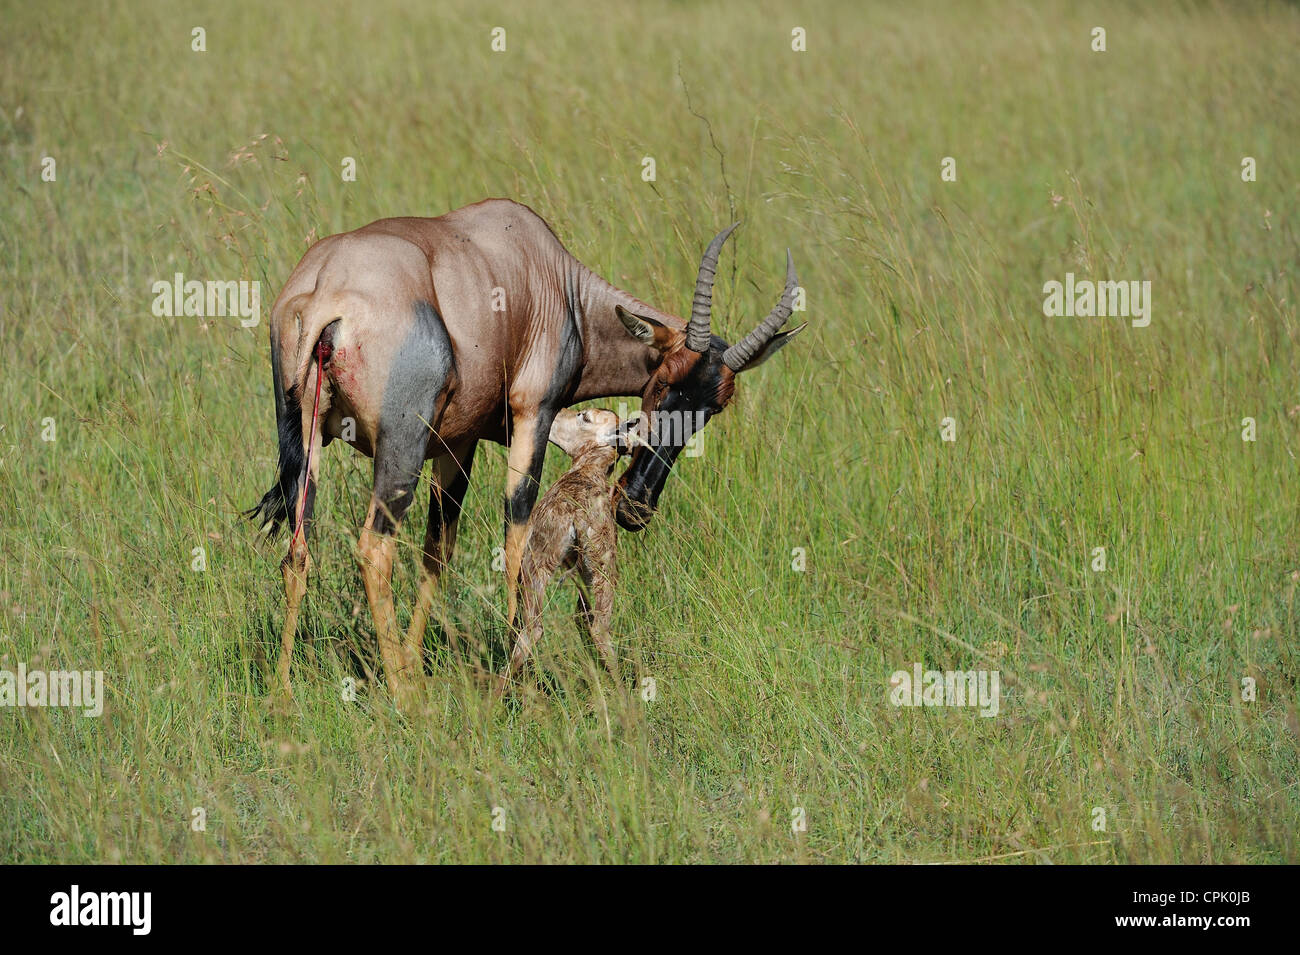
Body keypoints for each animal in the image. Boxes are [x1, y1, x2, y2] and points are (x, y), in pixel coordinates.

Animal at [496, 407, 629, 696]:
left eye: (585, 417)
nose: (558, 412)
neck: (588, 470)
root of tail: (579, 514)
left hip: (536, 566)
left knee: (533, 628)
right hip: (601, 572)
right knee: (596, 627)